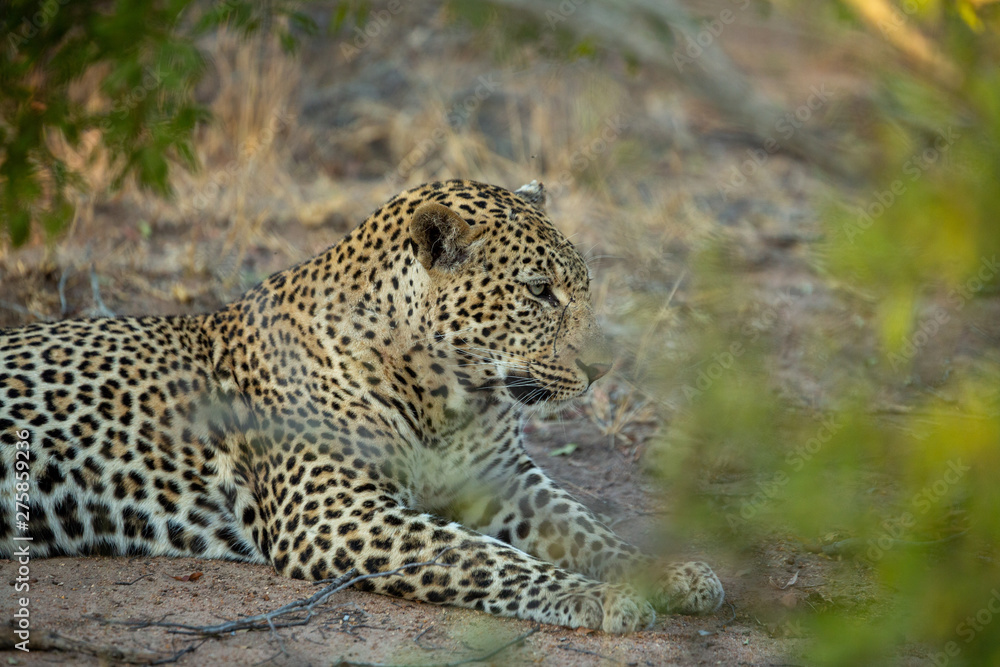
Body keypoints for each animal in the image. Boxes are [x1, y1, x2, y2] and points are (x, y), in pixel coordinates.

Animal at [0, 179, 724, 633]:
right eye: (539, 291)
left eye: (584, 286)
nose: (604, 367)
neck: (445, 398)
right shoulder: (334, 511)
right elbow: (480, 555)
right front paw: (596, 595)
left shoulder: (503, 479)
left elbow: (585, 527)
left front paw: (673, 573)